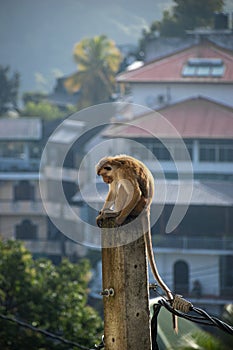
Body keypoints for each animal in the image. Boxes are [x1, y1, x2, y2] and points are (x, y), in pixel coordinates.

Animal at [95, 154, 177, 330]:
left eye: (104, 175)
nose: (105, 180)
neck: (116, 165)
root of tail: (147, 208)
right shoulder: (115, 176)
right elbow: (113, 191)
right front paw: (103, 213)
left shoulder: (124, 173)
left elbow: (134, 192)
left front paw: (118, 219)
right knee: (119, 189)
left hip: (138, 205)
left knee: (126, 189)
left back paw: (117, 214)